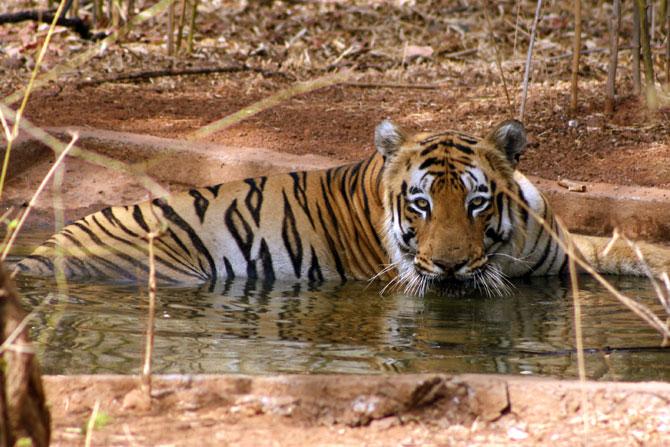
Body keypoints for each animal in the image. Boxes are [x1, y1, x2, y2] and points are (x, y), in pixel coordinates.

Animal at [14, 119, 670, 298]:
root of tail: (37, 252)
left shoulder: (566, 252)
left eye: (477, 203)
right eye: (421, 205)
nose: (451, 266)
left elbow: (626, 247)